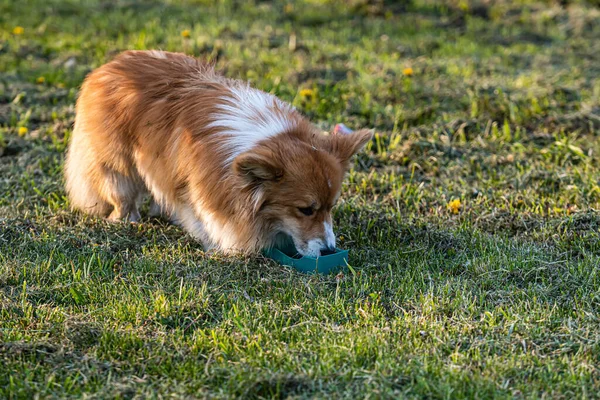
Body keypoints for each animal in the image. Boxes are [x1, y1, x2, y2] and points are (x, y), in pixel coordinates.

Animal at [64, 50, 370, 256]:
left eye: (332, 207)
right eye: (305, 210)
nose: (329, 251)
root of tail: (107, 67)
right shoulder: (196, 190)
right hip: (117, 166)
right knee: (121, 195)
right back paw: (126, 221)